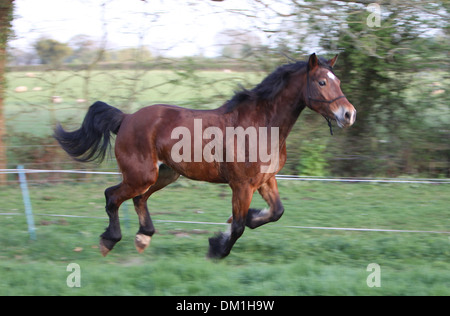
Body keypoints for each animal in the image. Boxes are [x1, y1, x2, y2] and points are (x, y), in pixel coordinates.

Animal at [54, 53, 356, 258]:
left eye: (338, 81)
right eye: (321, 82)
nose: (349, 114)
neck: (262, 125)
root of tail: (126, 118)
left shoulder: (266, 181)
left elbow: (275, 212)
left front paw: (241, 221)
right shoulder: (242, 185)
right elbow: (239, 226)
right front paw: (216, 248)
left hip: (165, 174)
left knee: (138, 199)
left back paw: (143, 238)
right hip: (142, 175)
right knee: (112, 196)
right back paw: (109, 241)